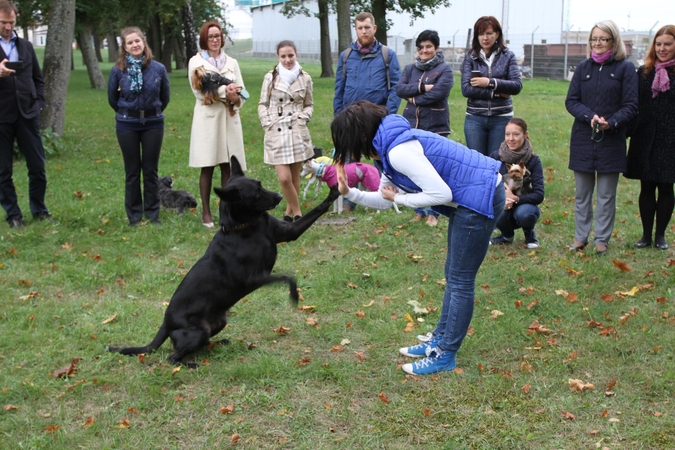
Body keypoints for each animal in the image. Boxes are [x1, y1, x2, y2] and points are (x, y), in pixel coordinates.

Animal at [108, 156, 340, 368]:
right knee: (172, 357)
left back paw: (219, 343)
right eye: (256, 193)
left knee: (199, 345)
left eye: (260, 185)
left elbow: (316, 211)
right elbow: (288, 277)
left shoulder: (289, 233)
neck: (245, 227)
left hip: (219, 322)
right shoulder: (255, 278)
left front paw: (334, 191)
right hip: (199, 330)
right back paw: (191, 364)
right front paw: (294, 296)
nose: (280, 196)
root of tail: (166, 323)